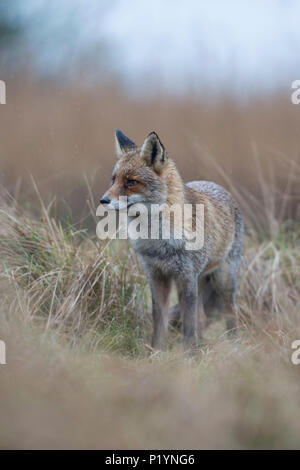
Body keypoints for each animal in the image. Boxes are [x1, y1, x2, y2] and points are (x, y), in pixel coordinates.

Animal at [101, 130, 244, 350]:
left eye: (131, 182)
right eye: (113, 180)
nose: (103, 200)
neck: (159, 242)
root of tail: (217, 185)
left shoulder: (186, 277)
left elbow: (188, 326)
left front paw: (189, 355)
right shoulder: (157, 276)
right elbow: (159, 321)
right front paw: (157, 352)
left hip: (223, 280)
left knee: (230, 314)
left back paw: (234, 348)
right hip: (200, 281)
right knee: (202, 319)